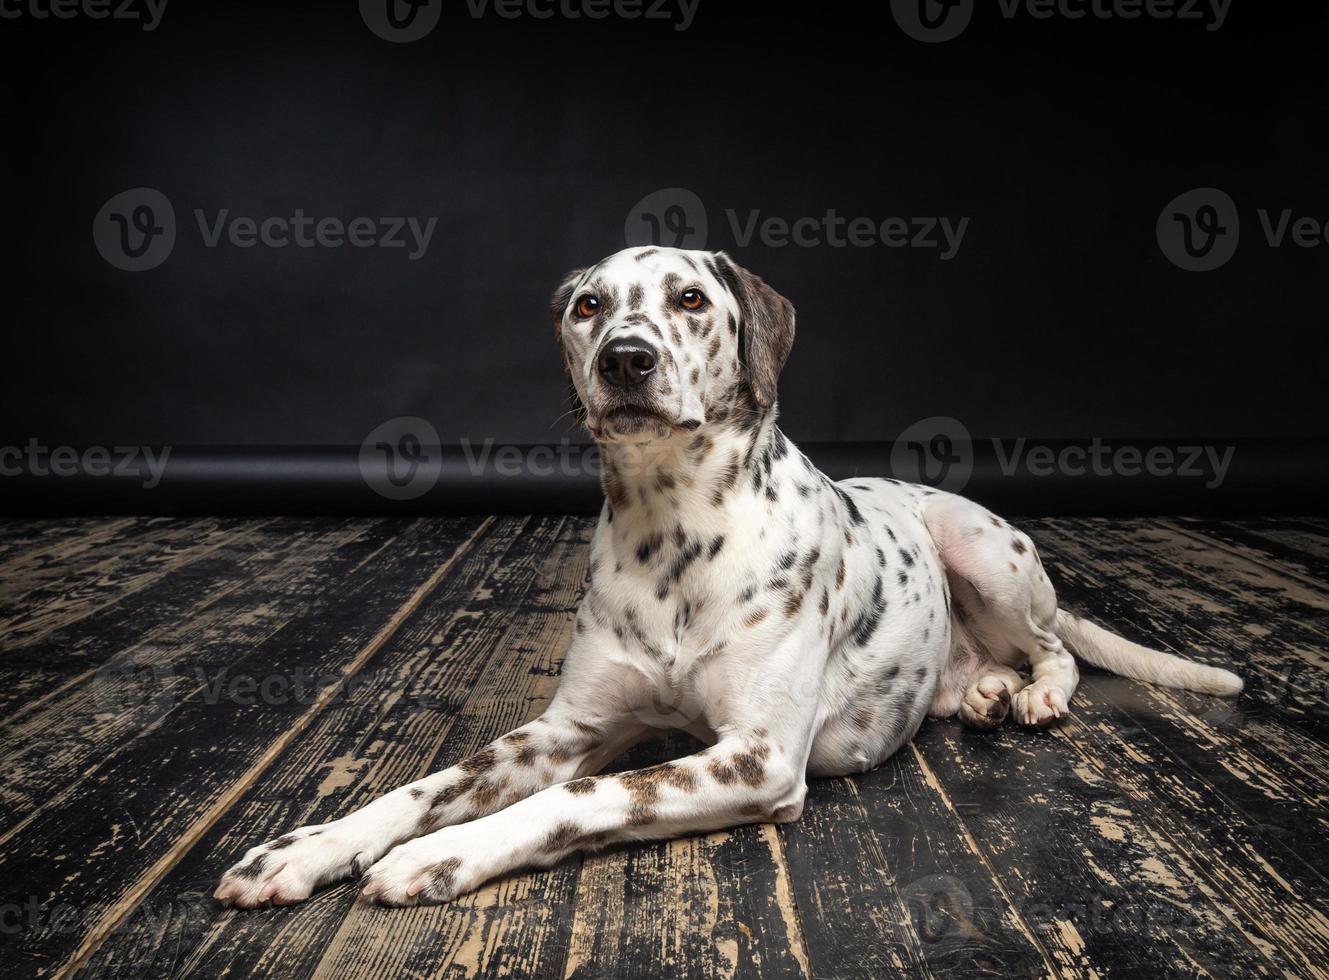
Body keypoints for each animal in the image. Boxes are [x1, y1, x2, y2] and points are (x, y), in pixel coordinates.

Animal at [217, 245, 1243, 909]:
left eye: (688, 299)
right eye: (588, 306)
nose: (625, 359)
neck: (672, 531)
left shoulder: (755, 757)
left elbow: (581, 797)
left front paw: (444, 853)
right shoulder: (567, 729)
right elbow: (426, 784)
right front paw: (308, 847)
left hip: (979, 545)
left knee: (1053, 645)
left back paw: (1034, 694)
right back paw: (984, 690)